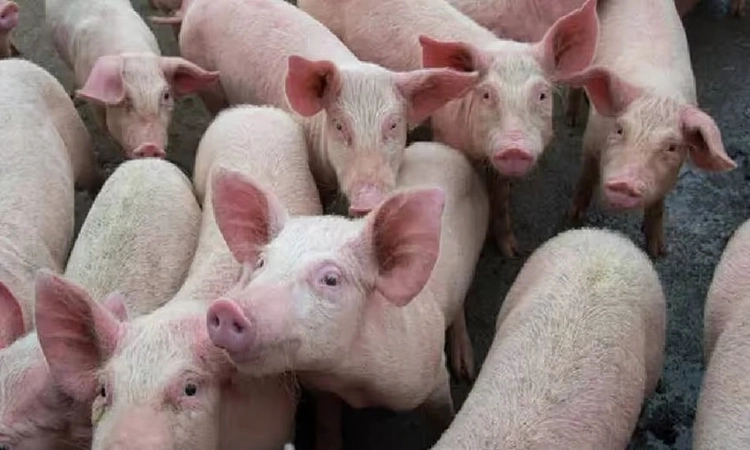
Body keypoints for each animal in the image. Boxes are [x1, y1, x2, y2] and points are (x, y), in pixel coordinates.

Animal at [206, 141, 489, 449]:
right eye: (261, 263)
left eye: (331, 279)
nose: (227, 308)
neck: (349, 380)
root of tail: (440, 147)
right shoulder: (323, 388)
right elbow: (327, 421)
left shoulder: (433, 375)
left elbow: (443, 414)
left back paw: (466, 368)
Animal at [296, 0, 599, 256]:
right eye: (486, 94)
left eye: (542, 94)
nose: (515, 147)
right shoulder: (445, 132)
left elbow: (501, 198)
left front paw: (512, 251)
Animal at [564, 0, 736, 257]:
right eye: (619, 130)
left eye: (672, 147)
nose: (625, 184)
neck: (658, 92)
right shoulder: (591, 138)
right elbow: (587, 175)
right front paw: (573, 217)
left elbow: (658, 206)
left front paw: (658, 251)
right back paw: (571, 118)